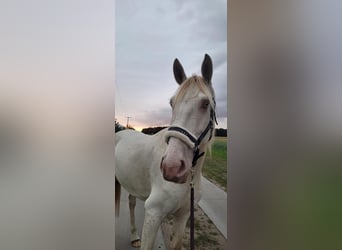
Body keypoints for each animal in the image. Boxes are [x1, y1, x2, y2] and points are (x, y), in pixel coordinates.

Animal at [115, 53, 216, 249]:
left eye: (205, 103)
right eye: (171, 103)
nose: (172, 167)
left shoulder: (183, 216)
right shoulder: (153, 214)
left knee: (131, 203)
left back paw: (134, 236)